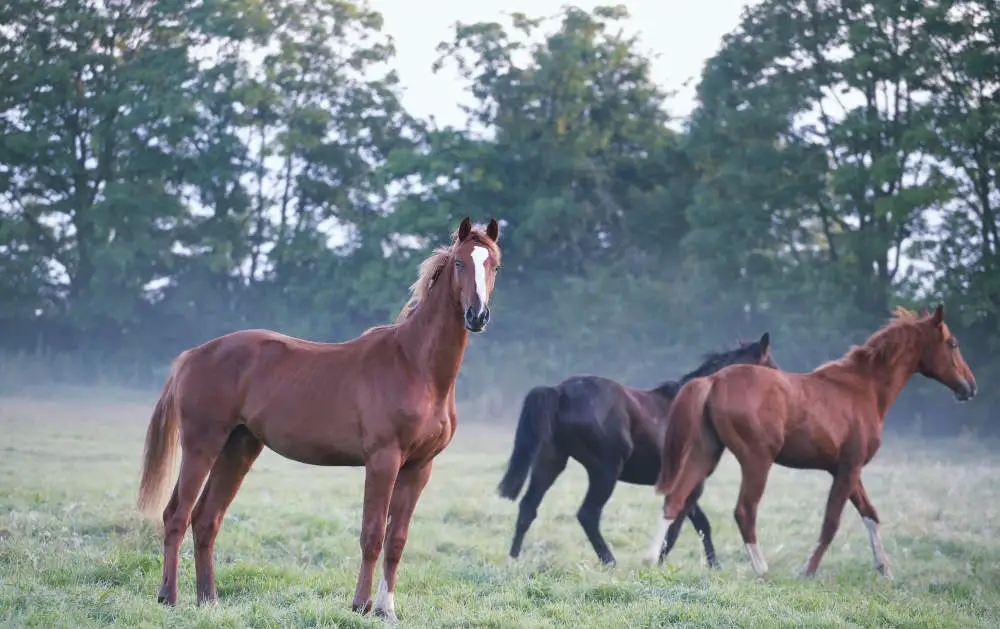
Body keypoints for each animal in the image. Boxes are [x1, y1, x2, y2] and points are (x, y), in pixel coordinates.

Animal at [137, 216, 504, 620]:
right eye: (460, 263)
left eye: (494, 266)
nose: (477, 316)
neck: (415, 366)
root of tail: (192, 355)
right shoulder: (383, 460)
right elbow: (373, 534)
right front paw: (360, 604)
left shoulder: (419, 467)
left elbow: (397, 539)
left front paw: (386, 609)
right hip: (203, 445)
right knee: (177, 514)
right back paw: (168, 597)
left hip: (239, 447)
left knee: (206, 518)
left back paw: (209, 599)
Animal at [496, 332, 776, 568]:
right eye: (771, 367)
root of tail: (559, 391)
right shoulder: (694, 483)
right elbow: (678, 526)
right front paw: (659, 561)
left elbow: (700, 524)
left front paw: (713, 566)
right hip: (605, 470)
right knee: (587, 514)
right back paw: (610, 561)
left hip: (551, 461)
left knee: (528, 507)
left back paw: (513, 558)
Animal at [648, 304, 976, 576]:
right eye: (953, 343)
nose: (969, 387)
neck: (862, 388)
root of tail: (713, 380)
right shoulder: (848, 469)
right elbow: (831, 523)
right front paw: (807, 571)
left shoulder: (846, 469)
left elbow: (870, 514)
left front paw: (885, 569)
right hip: (757, 461)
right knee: (744, 511)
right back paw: (762, 569)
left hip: (706, 453)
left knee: (675, 500)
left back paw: (649, 559)